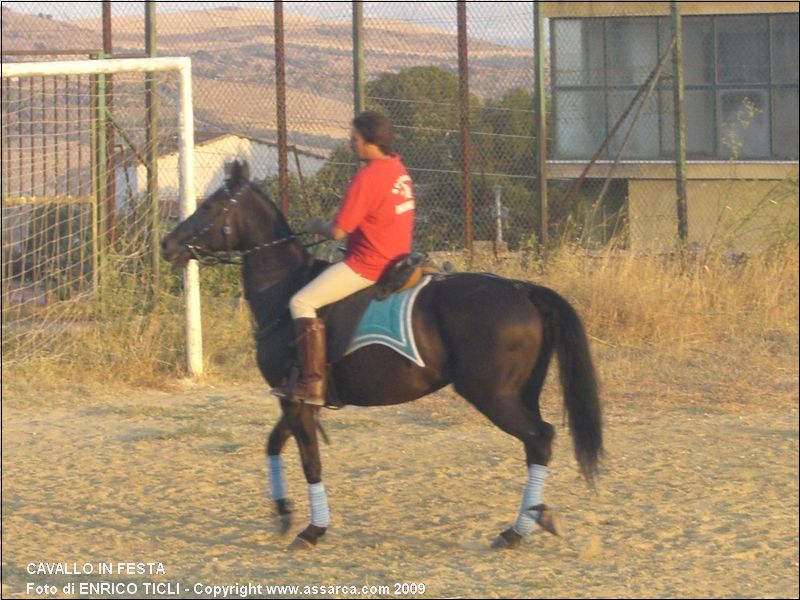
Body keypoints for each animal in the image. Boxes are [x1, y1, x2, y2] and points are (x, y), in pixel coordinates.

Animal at [161, 162, 600, 552]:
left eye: (209, 207)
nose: (168, 244)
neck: (285, 292)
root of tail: (522, 288)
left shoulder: (296, 401)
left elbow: (310, 461)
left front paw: (313, 530)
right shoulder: (295, 400)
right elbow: (273, 444)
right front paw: (283, 511)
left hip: (493, 395)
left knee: (540, 439)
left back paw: (520, 528)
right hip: (520, 392)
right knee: (536, 443)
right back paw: (530, 520)